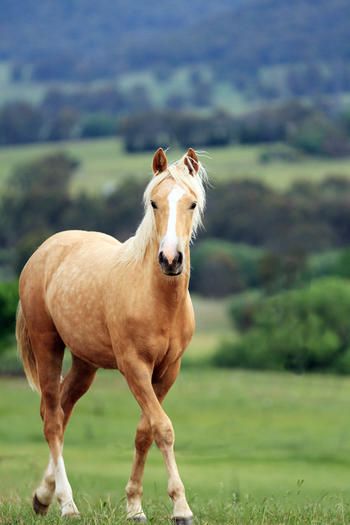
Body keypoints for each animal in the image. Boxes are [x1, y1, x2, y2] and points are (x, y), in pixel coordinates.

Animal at [16, 145, 206, 520]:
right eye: (154, 203)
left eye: (191, 203)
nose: (170, 259)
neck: (156, 298)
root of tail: (45, 250)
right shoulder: (134, 367)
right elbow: (163, 428)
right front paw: (181, 507)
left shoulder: (168, 371)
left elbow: (144, 431)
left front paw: (134, 506)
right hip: (48, 346)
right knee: (53, 420)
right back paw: (67, 505)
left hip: (84, 364)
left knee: (60, 410)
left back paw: (43, 497)